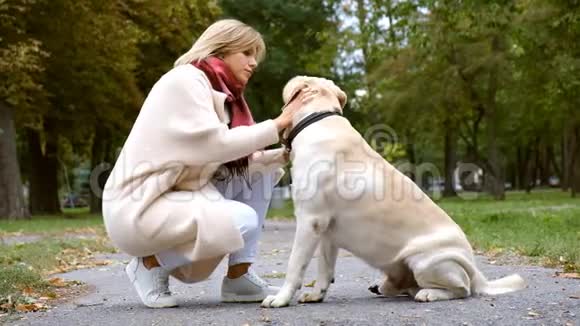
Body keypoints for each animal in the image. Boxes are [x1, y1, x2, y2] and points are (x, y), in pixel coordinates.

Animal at [262, 76, 524, 308]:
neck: (317, 119)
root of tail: (477, 273)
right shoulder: (327, 231)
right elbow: (325, 269)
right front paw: (317, 295)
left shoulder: (310, 220)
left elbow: (295, 265)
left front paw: (281, 298)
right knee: (405, 286)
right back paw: (384, 287)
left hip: (426, 260)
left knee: (461, 289)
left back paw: (429, 294)